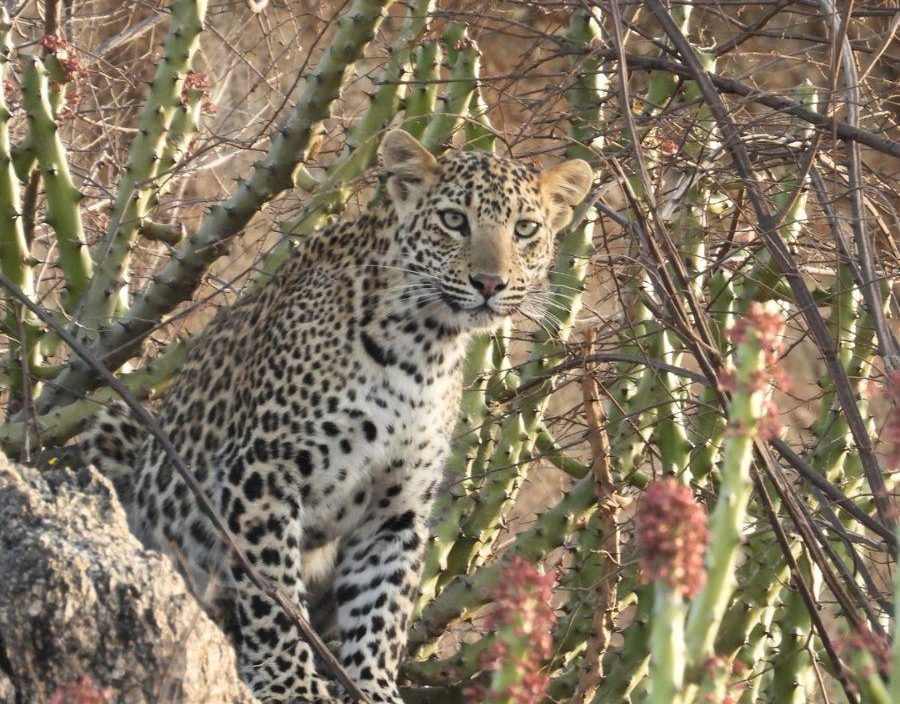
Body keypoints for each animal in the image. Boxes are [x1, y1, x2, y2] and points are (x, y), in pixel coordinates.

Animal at [84, 129, 592, 703]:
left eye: (525, 229)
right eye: (453, 220)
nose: (490, 283)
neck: (423, 350)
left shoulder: (396, 510)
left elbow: (380, 611)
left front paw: (372, 689)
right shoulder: (262, 471)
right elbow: (274, 593)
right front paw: (292, 682)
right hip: (116, 432)